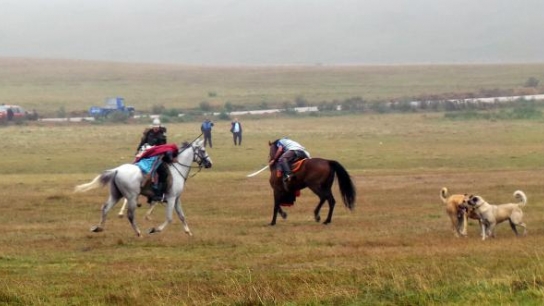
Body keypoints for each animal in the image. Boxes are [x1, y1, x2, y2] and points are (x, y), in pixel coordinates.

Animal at [74, 139, 212, 237]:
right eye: (203, 150)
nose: (210, 164)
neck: (177, 169)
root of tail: (116, 170)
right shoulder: (171, 198)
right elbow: (169, 218)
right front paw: (154, 229)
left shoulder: (177, 199)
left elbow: (182, 216)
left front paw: (189, 232)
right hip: (132, 197)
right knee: (130, 215)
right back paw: (138, 233)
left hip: (116, 195)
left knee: (105, 208)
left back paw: (98, 228)